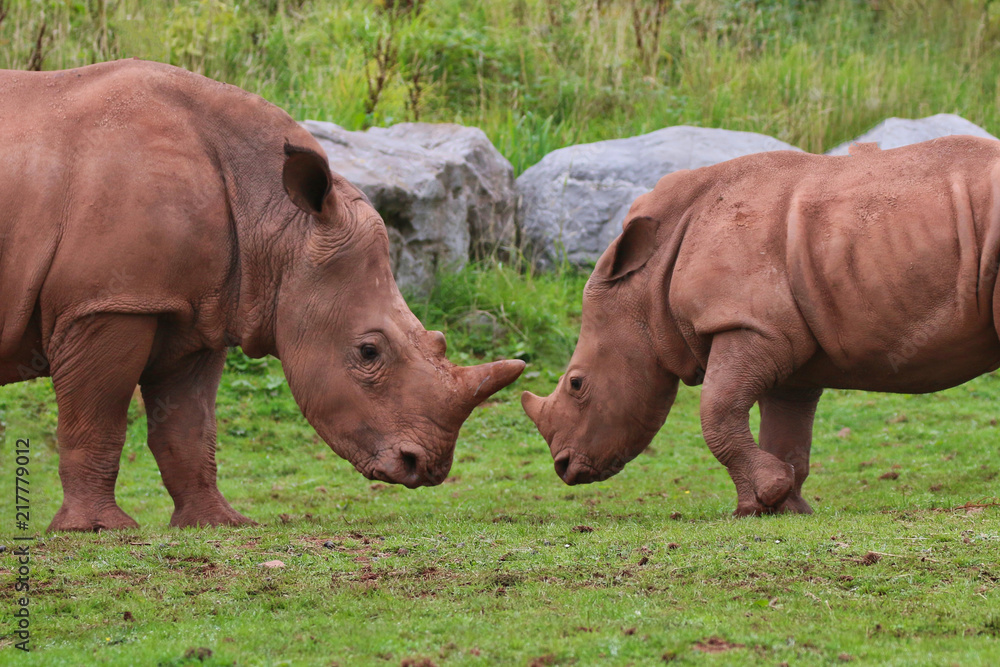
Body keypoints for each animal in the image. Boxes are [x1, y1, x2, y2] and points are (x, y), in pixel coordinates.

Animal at [0, 60, 524, 532]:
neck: (277, 219)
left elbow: (189, 427)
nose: (427, 467)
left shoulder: (194, 310)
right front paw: (96, 530)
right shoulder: (107, 302)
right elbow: (96, 418)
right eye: (368, 352)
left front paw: (217, 525)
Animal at [522, 136, 1000, 516]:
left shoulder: (745, 323)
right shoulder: (785, 346)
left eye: (577, 384)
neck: (646, 284)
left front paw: (768, 495)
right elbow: (784, 431)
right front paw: (774, 507)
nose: (563, 467)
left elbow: (716, 413)